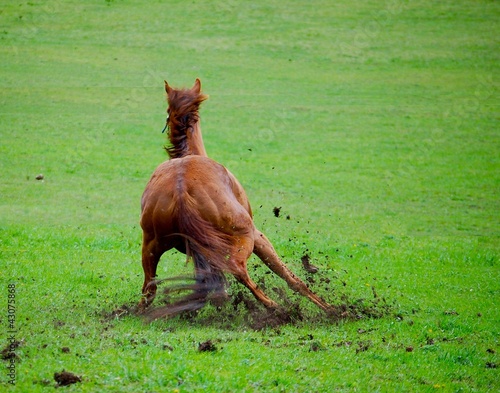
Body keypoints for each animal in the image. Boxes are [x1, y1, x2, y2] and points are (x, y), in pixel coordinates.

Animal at [139, 77, 332, 318]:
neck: (189, 154)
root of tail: (181, 192)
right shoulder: (259, 237)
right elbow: (290, 277)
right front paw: (330, 309)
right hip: (245, 237)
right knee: (238, 269)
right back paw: (274, 306)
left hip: (150, 246)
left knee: (149, 289)